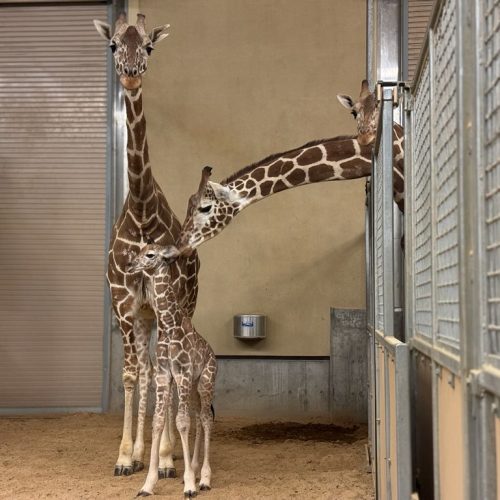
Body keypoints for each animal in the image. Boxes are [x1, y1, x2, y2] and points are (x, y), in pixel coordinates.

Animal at [127, 245, 217, 496]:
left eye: (150, 255)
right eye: (140, 250)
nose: (130, 265)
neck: (168, 324)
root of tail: (213, 355)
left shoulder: (182, 373)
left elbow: (182, 422)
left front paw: (190, 485)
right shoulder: (164, 375)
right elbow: (158, 420)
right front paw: (148, 484)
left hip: (206, 382)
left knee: (206, 418)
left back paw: (204, 478)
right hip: (195, 386)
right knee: (199, 416)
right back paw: (195, 469)